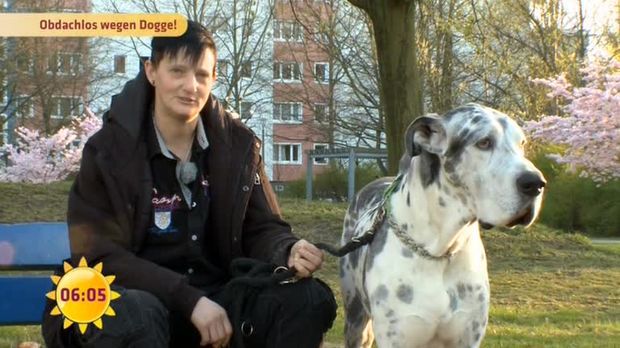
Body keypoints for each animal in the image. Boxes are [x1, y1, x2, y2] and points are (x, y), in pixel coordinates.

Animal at [340, 103, 548, 348]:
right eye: (484, 142)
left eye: (521, 143)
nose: (535, 183)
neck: (440, 250)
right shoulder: (397, 336)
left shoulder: (468, 337)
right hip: (356, 319)